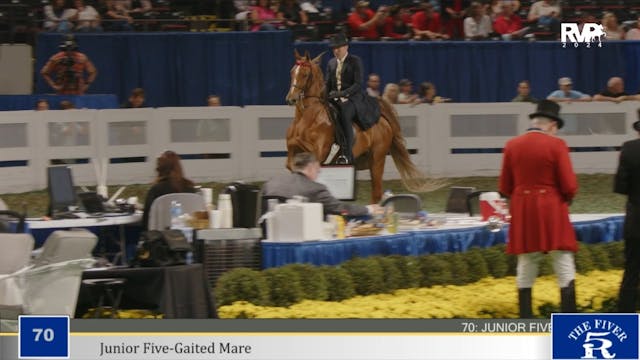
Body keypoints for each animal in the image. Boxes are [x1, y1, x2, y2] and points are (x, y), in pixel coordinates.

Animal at [286, 51, 440, 204]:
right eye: (292, 72)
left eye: (305, 74)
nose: (290, 99)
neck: (308, 118)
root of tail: (382, 119)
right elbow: (290, 156)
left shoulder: (318, 152)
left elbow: (297, 144)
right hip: (363, 161)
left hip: (377, 161)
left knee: (376, 193)